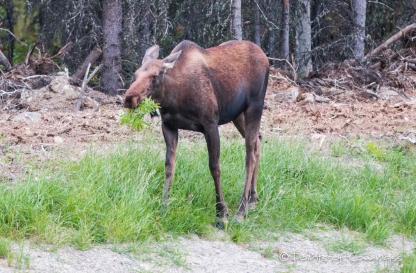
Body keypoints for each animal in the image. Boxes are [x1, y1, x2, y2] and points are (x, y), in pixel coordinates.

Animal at [122, 40, 270, 223]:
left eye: (155, 75)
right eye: (135, 75)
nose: (130, 98)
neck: (174, 98)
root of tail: (265, 57)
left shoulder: (210, 124)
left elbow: (215, 167)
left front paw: (221, 212)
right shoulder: (169, 125)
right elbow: (169, 166)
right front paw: (164, 206)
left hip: (254, 106)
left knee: (249, 155)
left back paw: (241, 210)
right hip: (237, 114)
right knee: (259, 139)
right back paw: (252, 199)